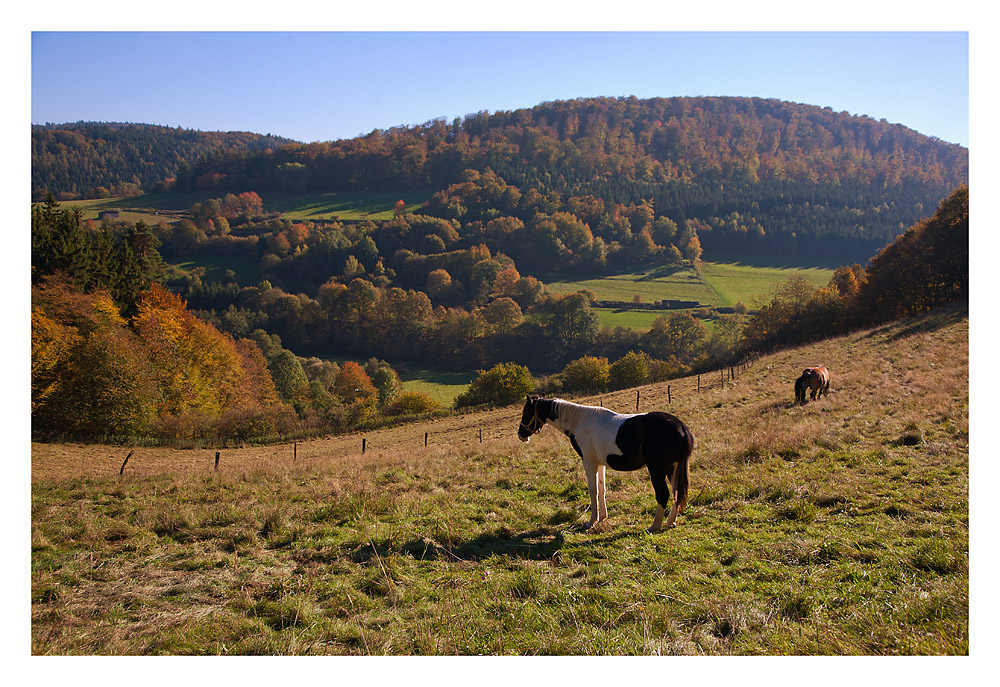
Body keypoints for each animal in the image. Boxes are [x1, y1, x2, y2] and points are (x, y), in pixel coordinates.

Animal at [520, 396, 692, 536]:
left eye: (527, 412)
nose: (521, 434)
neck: (579, 422)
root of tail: (681, 427)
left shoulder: (589, 462)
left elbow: (593, 490)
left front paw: (591, 521)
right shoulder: (600, 464)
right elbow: (602, 488)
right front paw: (602, 517)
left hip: (657, 470)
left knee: (663, 494)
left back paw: (654, 527)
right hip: (673, 468)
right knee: (677, 492)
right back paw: (670, 522)